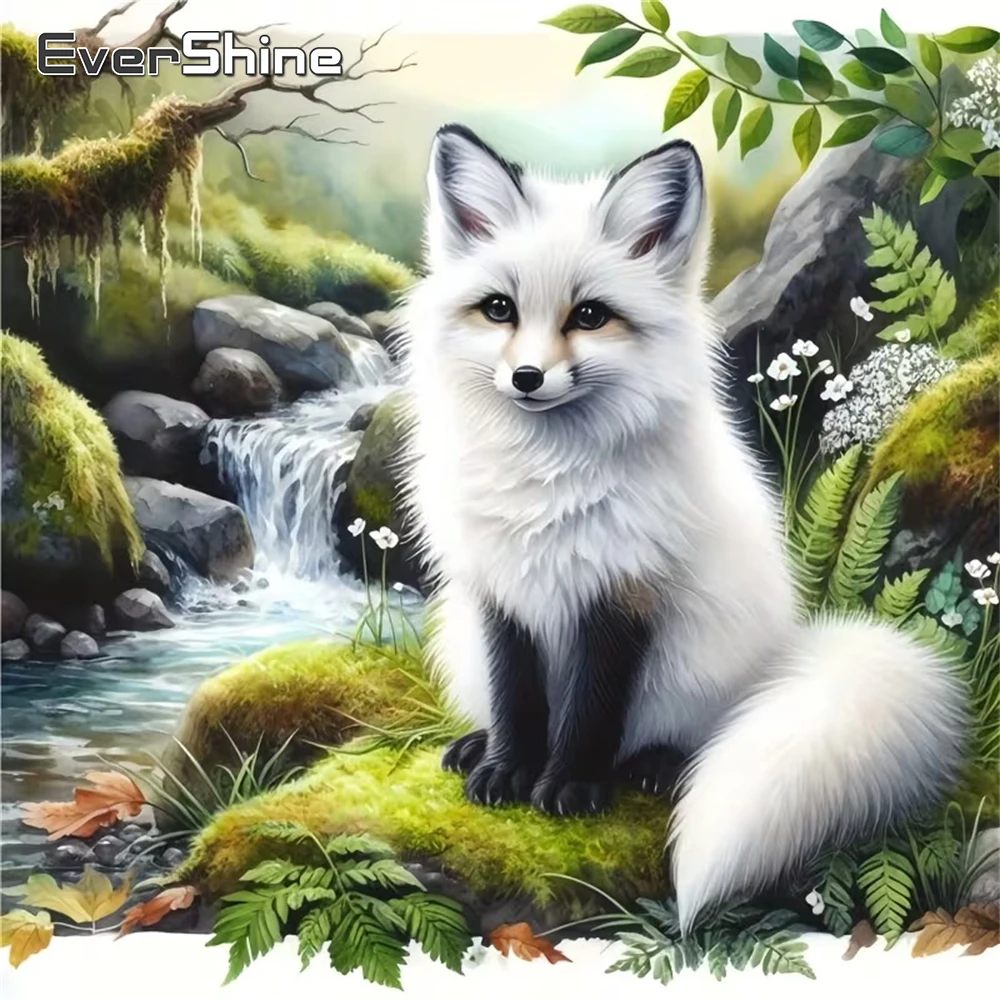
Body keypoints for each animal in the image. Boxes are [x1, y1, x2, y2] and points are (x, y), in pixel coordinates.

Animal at [397, 123, 967, 930]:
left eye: (590, 316)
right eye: (500, 309)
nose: (528, 378)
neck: (544, 487)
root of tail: (787, 649)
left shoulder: (625, 591)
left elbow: (591, 710)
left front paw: (567, 787)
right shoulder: (499, 590)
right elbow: (517, 698)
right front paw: (507, 769)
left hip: (698, 669)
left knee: (687, 737)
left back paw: (656, 765)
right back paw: (474, 746)